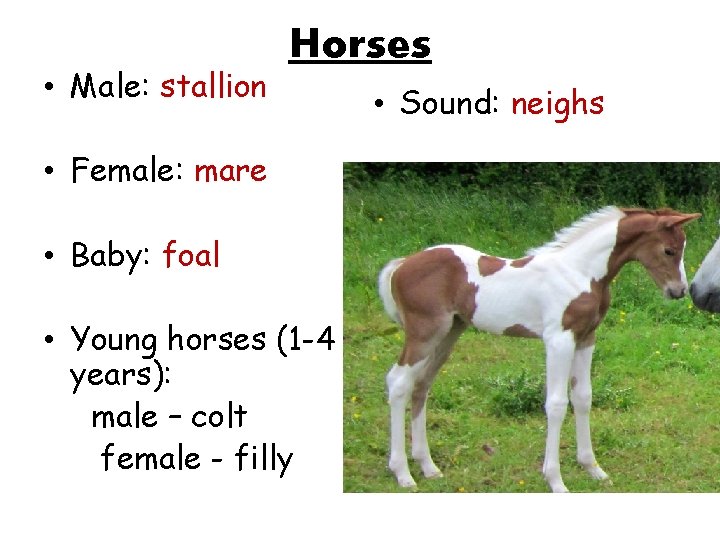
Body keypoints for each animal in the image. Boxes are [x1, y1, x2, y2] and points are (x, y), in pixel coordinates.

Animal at [378, 206, 700, 492]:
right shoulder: (559, 339)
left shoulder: (586, 337)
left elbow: (583, 398)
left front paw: (593, 469)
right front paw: (555, 480)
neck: (580, 272)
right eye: (670, 250)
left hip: (448, 333)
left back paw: (428, 466)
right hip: (424, 333)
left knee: (421, 385)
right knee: (398, 382)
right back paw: (403, 473)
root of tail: (402, 264)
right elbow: (556, 404)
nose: (679, 291)